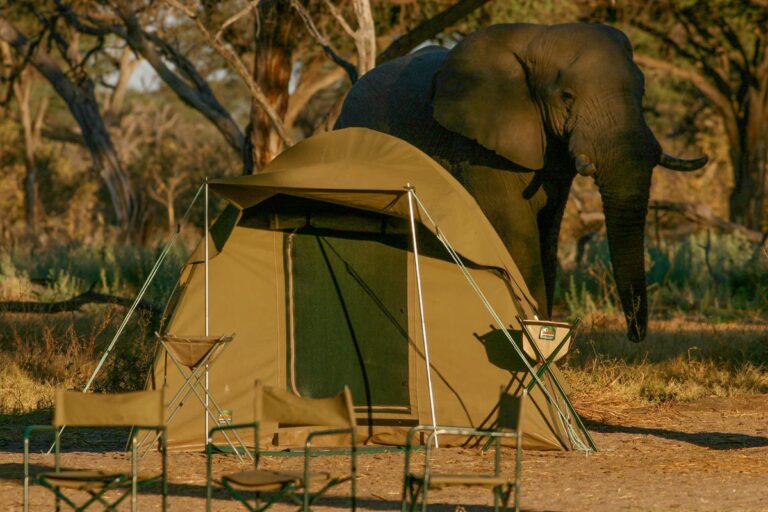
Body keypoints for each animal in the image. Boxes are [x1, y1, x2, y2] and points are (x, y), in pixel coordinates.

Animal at [332, 22, 704, 342]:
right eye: (567, 97)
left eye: (642, 89)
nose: (634, 335)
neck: (537, 39)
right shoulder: (478, 148)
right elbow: (519, 237)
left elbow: (547, 235)